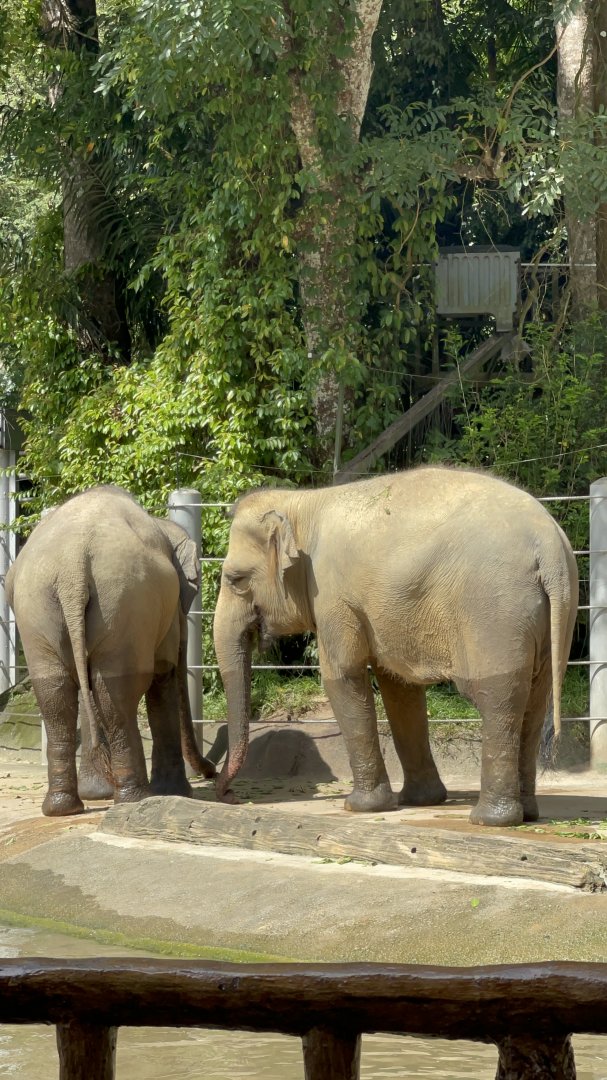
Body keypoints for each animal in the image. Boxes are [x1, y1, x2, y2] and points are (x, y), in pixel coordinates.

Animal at [6, 485, 215, 816]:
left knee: (56, 695)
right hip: (122, 600)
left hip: (39, 607)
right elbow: (163, 677)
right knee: (115, 692)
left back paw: (63, 808)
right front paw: (175, 793)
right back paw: (135, 798)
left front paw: (97, 793)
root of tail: (71, 563)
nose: (211, 771)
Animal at [213, 466, 578, 827]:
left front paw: (359, 807)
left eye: (235, 579)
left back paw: (491, 820)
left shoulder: (333, 595)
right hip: (552, 611)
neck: (302, 504)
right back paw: (527, 814)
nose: (229, 795)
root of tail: (549, 547)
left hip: (495, 612)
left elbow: (342, 675)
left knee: (497, 696)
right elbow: (399, 689)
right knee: (535, 700)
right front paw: (419, 801)